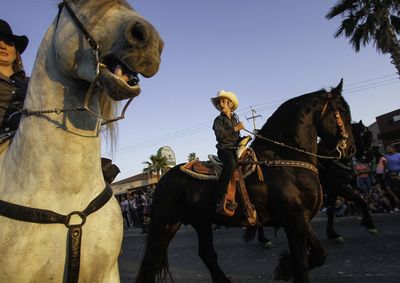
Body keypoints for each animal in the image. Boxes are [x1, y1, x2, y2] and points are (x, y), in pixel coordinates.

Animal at [135, 80, 354, 283]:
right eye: (343, 110)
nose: (351, 149)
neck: (284, 157)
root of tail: (162, 181)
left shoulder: (301, 219)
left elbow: (319, 254)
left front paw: (284, 268)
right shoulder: (294, 220)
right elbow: (302, 265)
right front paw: (288, 266)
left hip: (201, 222)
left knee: (206, 254)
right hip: (166, 224)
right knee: (152, 260)